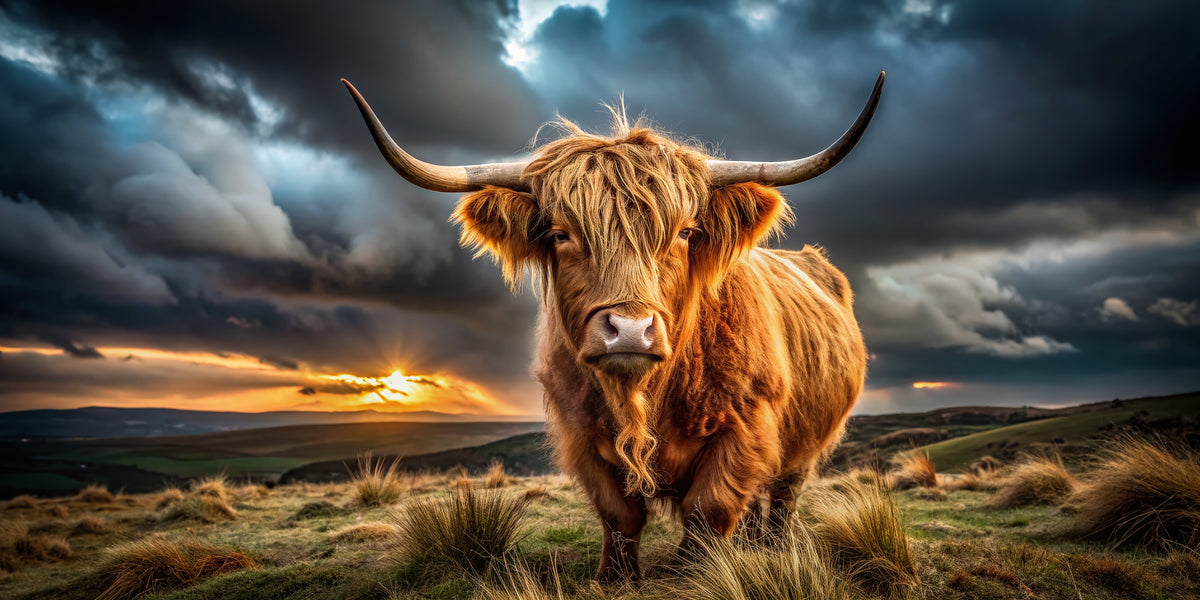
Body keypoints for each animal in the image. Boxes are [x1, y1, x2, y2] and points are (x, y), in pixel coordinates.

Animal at [342, 72, 883, 581]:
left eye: (685, 232)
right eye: (560, 234)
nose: (629, 329)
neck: (647, 398)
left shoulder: (747, 426)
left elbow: (709, 509)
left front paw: (694, 573)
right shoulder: (580, 434)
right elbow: (619, 513)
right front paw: (615, 578)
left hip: (808, 440)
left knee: (783, 495)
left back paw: (771, 547)